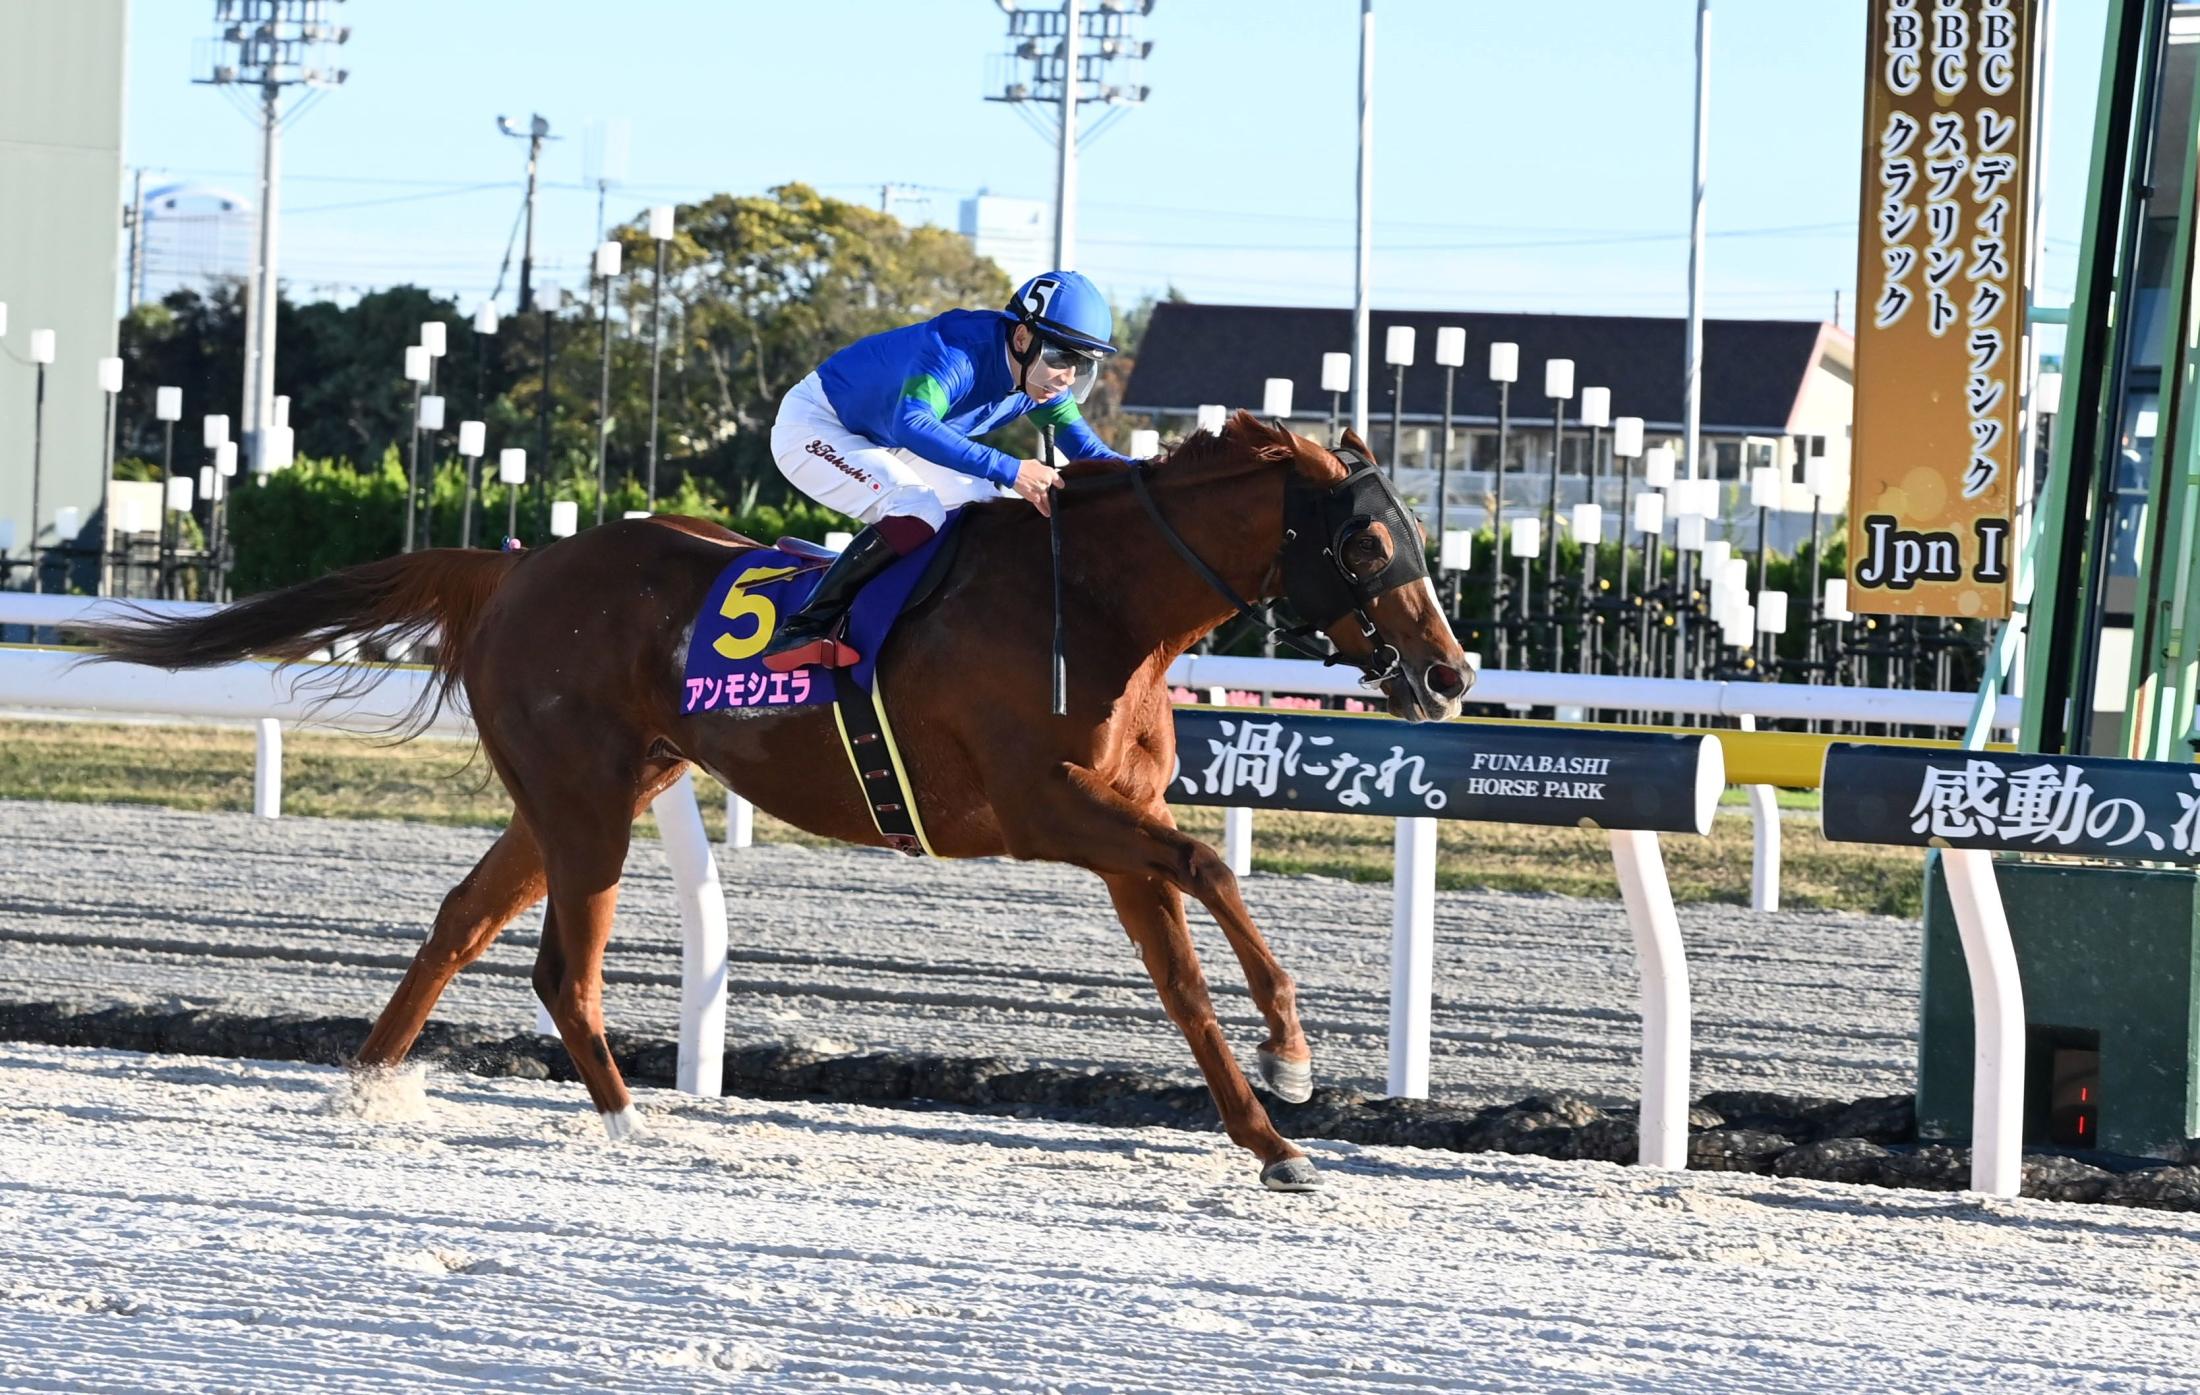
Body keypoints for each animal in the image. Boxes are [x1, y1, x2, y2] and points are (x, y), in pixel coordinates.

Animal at [86, 412, 1472, 1191]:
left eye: (1417, 536)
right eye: (1363, 541)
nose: (1451, 674)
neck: (1100, 605)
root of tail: (514, 563)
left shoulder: (1111, 830)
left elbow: (1183, 979)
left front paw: (1273, 1138)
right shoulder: (1044, 809)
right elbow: (1216, 867)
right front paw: (1294, 1058)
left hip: (592, 787)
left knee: (464, 922)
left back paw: (368, 1088)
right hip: (587, 798)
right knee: (561, 969)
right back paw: (631, 1127)